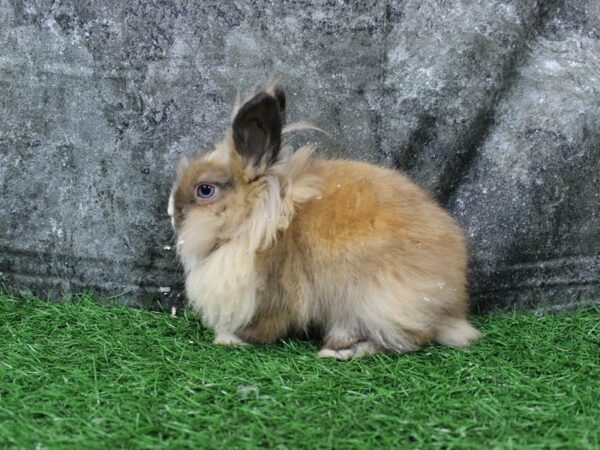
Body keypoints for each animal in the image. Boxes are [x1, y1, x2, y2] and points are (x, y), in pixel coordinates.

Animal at [166, 82, 480, 360]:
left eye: (205, 190)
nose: (171, 212)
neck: (257, 220)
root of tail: (452, 307)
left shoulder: (273, 295)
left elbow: (264, 327)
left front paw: (228, 338)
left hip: (380, 300)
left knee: (408, 337)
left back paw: (340, 349)